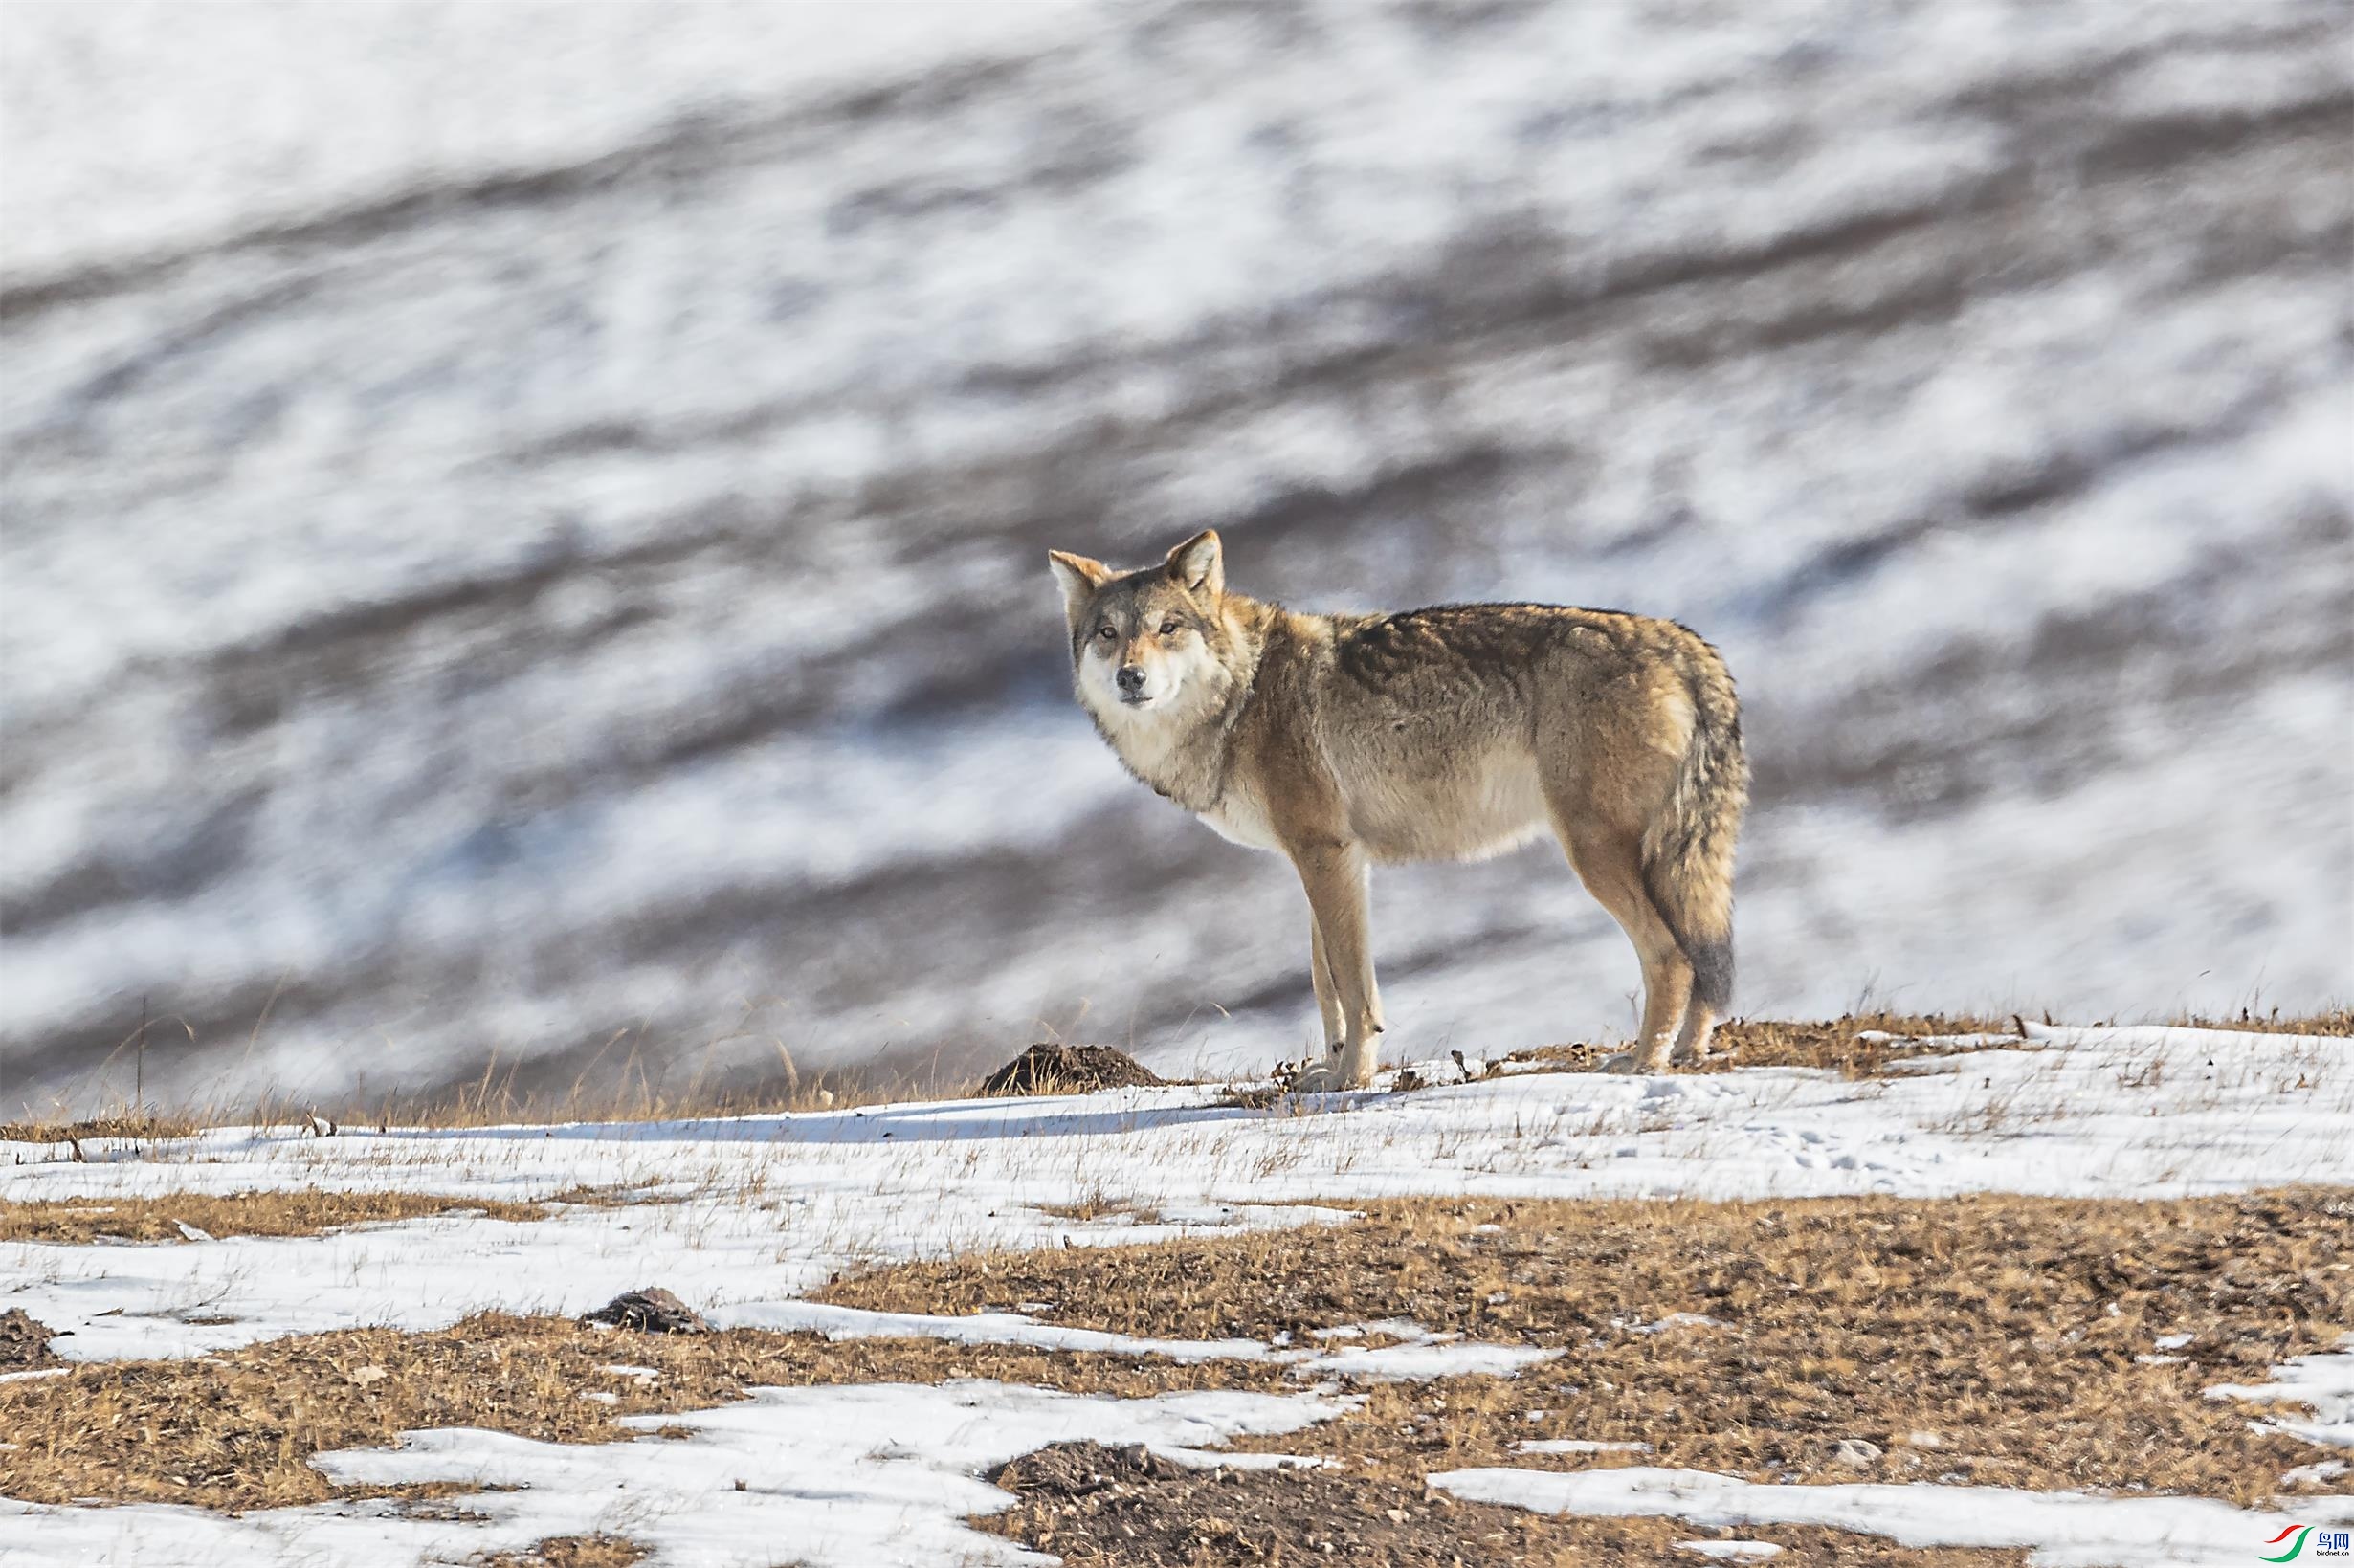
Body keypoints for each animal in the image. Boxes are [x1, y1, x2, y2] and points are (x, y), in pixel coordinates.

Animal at [1055, 524, 1751, 1087]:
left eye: (1166, 628)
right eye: (1108, 634)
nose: (1130, 677)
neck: (1244, 695)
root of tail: (1685, 643)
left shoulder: (1324, 855)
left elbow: (1353, 986)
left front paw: (1352, 1080)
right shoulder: (1330, 859)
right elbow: (1326, 983)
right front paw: (1329, 1069)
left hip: (1594, 852)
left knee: (1670, 955)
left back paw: (1644, 1064)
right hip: (1662, 857)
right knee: (1700, 956)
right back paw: (1685, 1054)